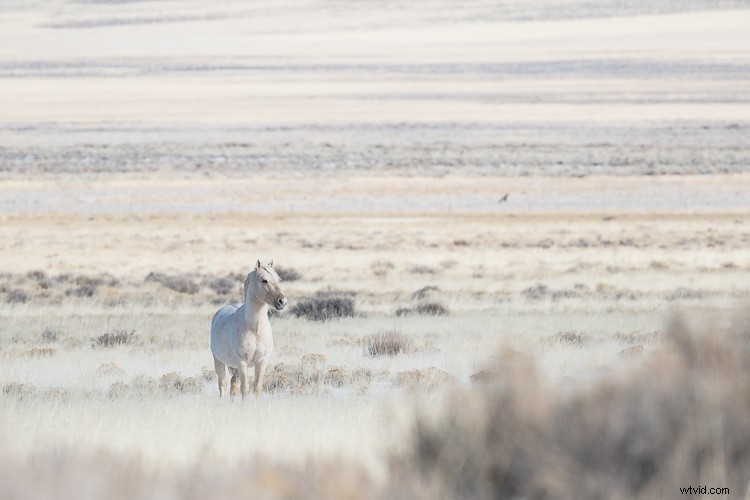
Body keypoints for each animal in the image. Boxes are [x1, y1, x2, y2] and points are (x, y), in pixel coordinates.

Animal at [210, 259, 287, 398]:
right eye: (264, 280)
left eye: (278, 280)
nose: (282, 302)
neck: (255, 329)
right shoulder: (242, 362)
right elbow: (245, 388)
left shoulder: (262, 362)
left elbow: (257, 387)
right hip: (219, 361)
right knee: (223, 384)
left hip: (234, 366)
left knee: (233, 384)